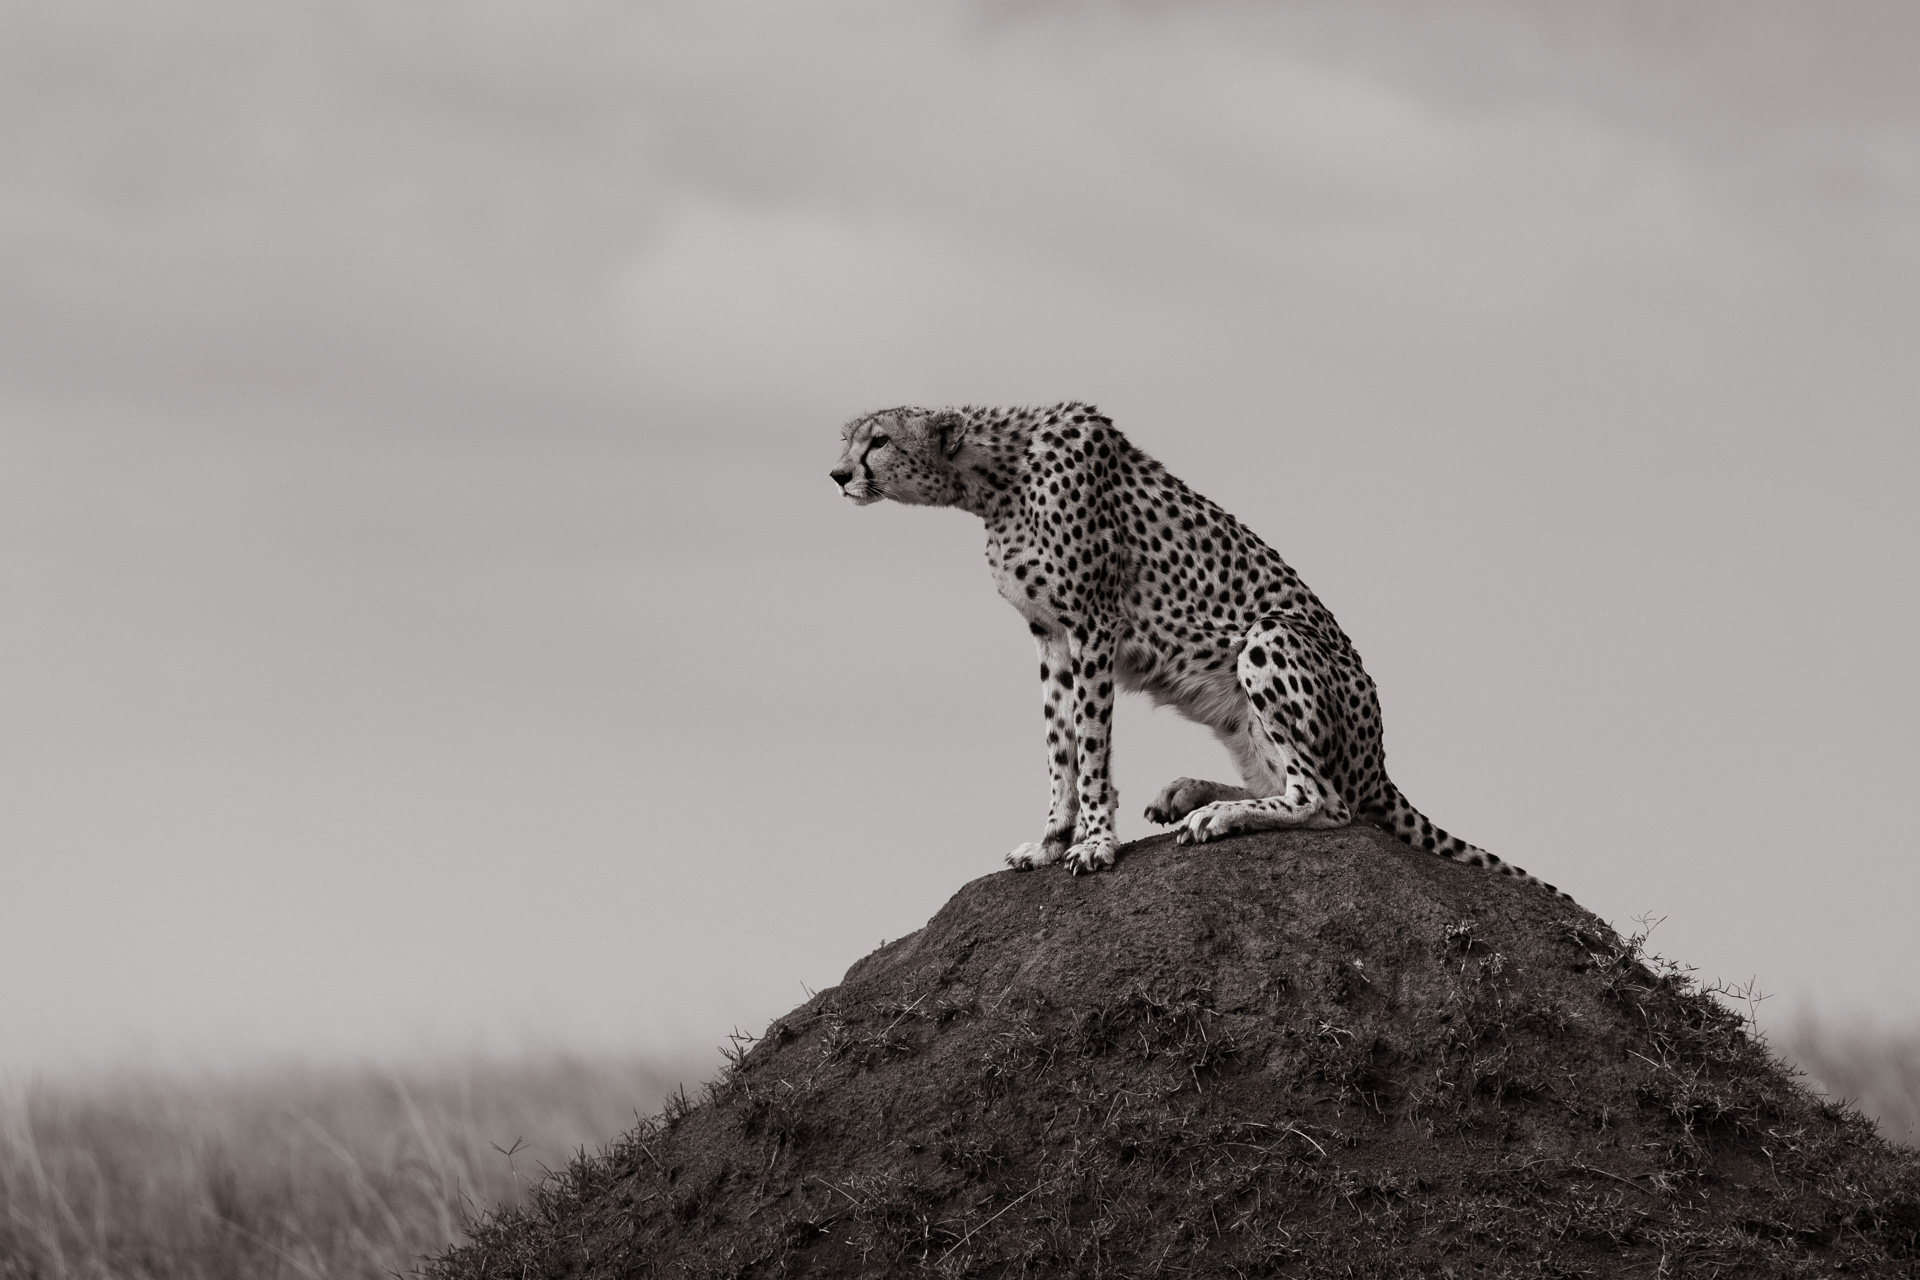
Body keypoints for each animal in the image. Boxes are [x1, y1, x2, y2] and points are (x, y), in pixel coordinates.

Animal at [833, 402, 1566, 901]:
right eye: (848, 438)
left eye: (878, 439)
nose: (838, 474)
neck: (995, 478)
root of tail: (1379, 761)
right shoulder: (1050, 634)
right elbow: (1059, 746)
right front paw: (1049, 840)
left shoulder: (1093, 623)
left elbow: (1091, 743)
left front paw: (1094, 843)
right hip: (1241, 715)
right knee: (1286, 781)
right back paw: (1189, 795)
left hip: (1269, 638)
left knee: (1327, 802)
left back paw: (1218, 814)